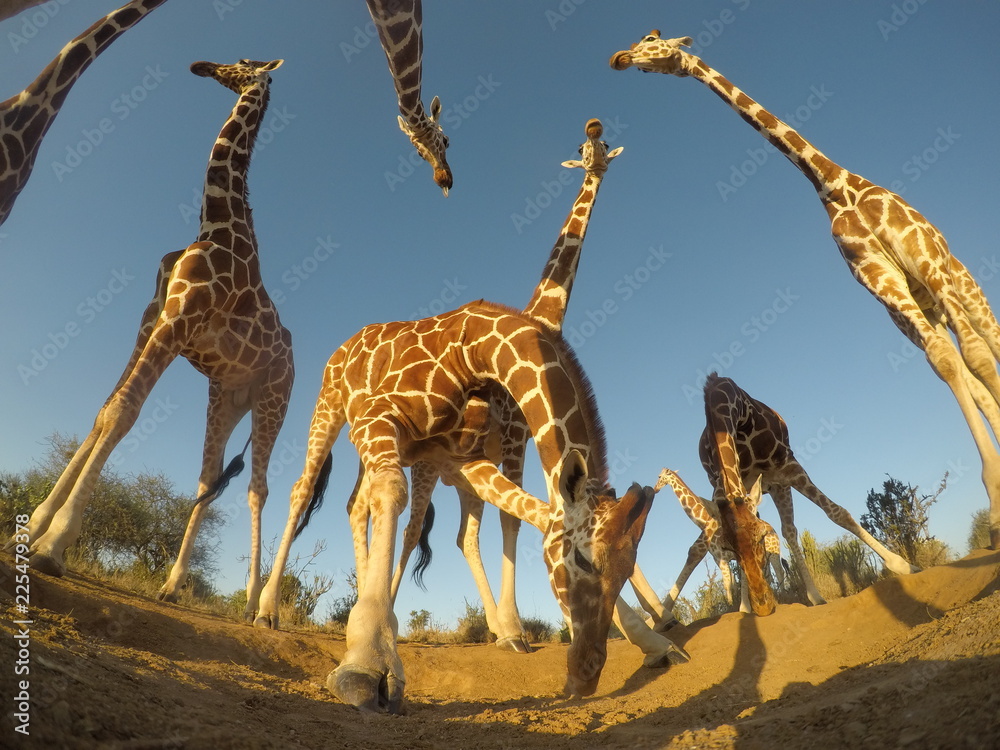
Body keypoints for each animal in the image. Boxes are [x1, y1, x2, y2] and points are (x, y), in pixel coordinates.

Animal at [16, 59, 294, 623]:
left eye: (245, 62)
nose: (203, 66)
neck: (216, 222)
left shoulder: (181, 317)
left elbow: (124, 412)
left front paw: (53, 545)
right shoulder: (152, 316)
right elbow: (104, 410)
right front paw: (32, 528)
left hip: (275, 399)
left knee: (257, 488)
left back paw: (257, 606)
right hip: (226, 398)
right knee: (209, 479)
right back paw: (171, 587)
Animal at [258, 301, 655, 712]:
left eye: (628, 572)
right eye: (582, 559)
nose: (587, 672)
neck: (472, 350)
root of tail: (347, 343)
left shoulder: (455, 458)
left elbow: (532, 511)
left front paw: (655, 643)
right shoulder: (380, 417)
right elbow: (395, 492)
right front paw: (368, 662)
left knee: (356, 505)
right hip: (331, 407)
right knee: (303, 490)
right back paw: (266, 611)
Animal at [610, 31, 1000, 552]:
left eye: (654, 41)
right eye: (638, 45)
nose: (622, 58)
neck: (834, 184)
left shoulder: (925, 262)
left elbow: (977, 356)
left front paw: (995, 502)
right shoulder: (880, 280)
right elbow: (947, 362)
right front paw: (995, 503)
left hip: (956, 279)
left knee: (987, 341)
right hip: (916, 311)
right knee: (960, 363)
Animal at [653, 468, 783, 615]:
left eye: (659, 476)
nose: (655, 489)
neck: (704, 519)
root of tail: (773, 529)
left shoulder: (722, 557)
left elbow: (730, 583)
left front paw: (737, 607)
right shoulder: (721, 558)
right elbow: (731, 583)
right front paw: (735, 606)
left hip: (774, 553)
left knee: (779, 572)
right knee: (769, 575)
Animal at [697, 372, 916, 616]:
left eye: (762, 536)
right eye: (728, 549)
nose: (763, 606)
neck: (741, 418)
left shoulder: (788, 468)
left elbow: (838, 513)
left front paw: (903, 565)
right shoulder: (726, 485)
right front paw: (745, 608)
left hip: (778, 486)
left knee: (790, 530)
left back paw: (816, 596)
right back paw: (746, 608)